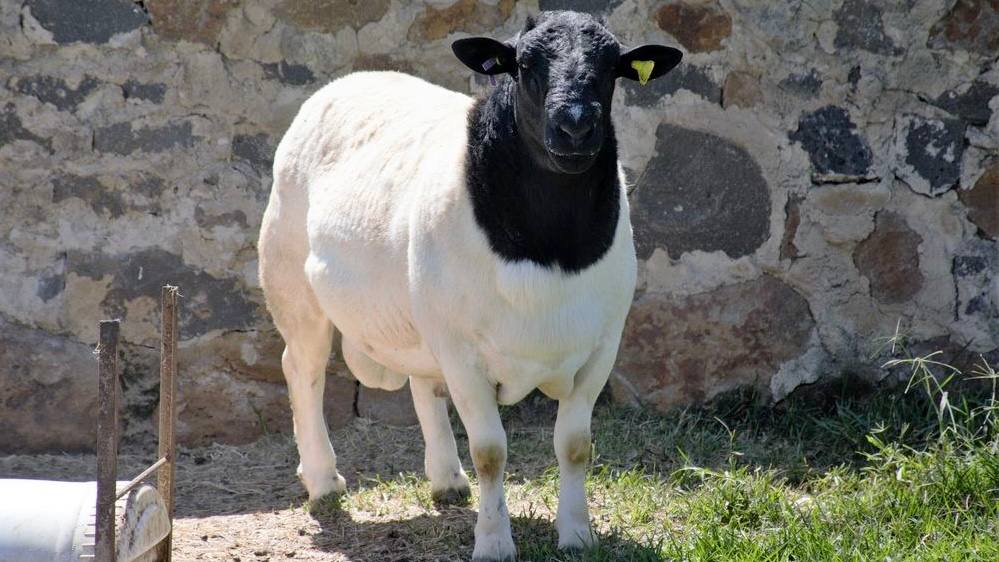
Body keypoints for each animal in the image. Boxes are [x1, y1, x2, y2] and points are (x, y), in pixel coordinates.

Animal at [257, 10, 682, 561]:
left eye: (612, 68)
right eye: (523, 65)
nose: (575, 126)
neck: (550, 246)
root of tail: (352, 79)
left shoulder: (600, 348)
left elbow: (574, 446)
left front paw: (577, 534)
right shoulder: (464, 353)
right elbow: (489, 452)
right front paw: (495, 541)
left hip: (422, 312)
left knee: (422, 383)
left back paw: (446, 480)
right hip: (292, 285)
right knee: (302, 370)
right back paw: (323, 481)